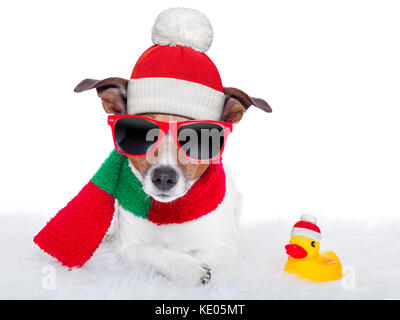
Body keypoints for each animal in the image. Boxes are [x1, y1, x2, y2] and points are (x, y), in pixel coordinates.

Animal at [73, 78, 270, 284]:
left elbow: (203, 252)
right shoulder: (128, 248)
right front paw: (188, 267)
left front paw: (193, 264)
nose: (164, 177)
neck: (170, 212)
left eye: (199, 139)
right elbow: (152, 251)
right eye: (140, 135)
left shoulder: (229, 248)